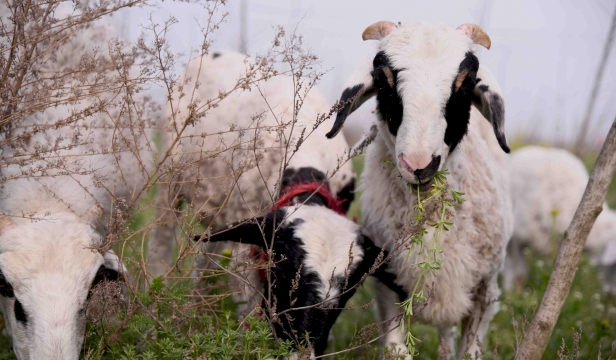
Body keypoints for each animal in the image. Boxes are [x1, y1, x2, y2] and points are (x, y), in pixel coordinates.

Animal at [328, 21, 516, 358]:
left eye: (467, 83)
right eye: (382, 79)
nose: (419, 165)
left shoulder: (486, 290)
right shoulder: (388, 281)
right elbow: (396, 350)